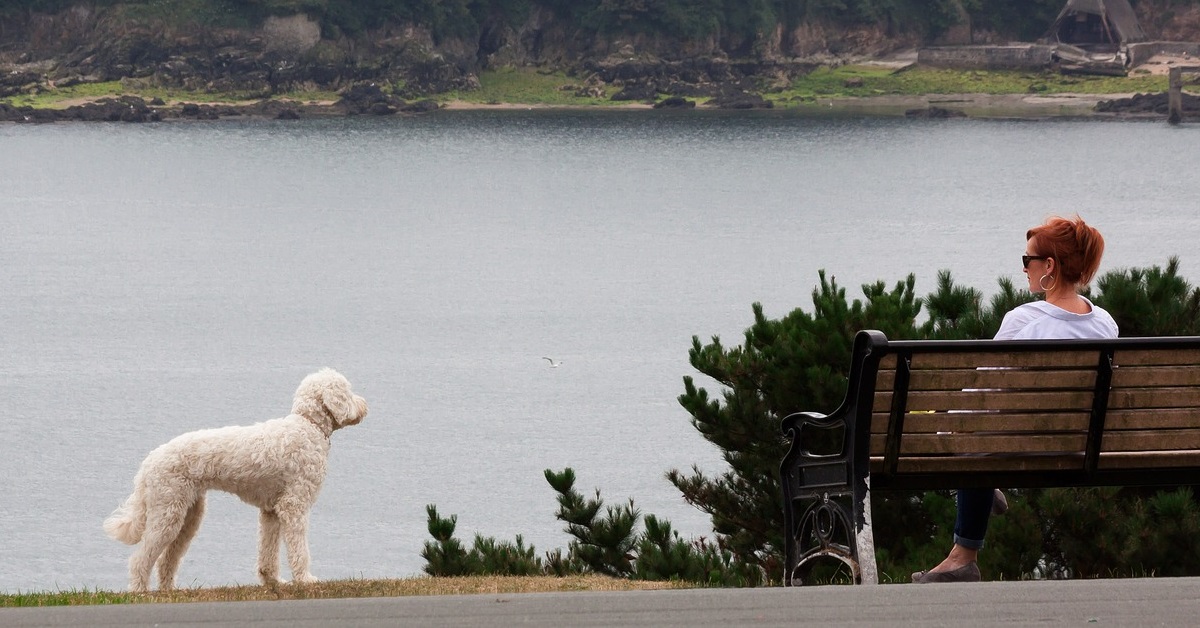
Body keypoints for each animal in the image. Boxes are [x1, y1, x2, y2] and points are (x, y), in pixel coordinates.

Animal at [102, 369, 364, 590]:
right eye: (348, 391)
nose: (364, 406)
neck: (308, 426)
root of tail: (148, 463)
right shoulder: (294, 506)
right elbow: (299, 549)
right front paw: (305, 579)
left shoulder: (271, 511)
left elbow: (268, 551)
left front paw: (273, 581)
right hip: (167, 512)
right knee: (140, 560)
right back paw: (140, 592)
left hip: (188, 515)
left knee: (166, 560)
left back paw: (169, 591)